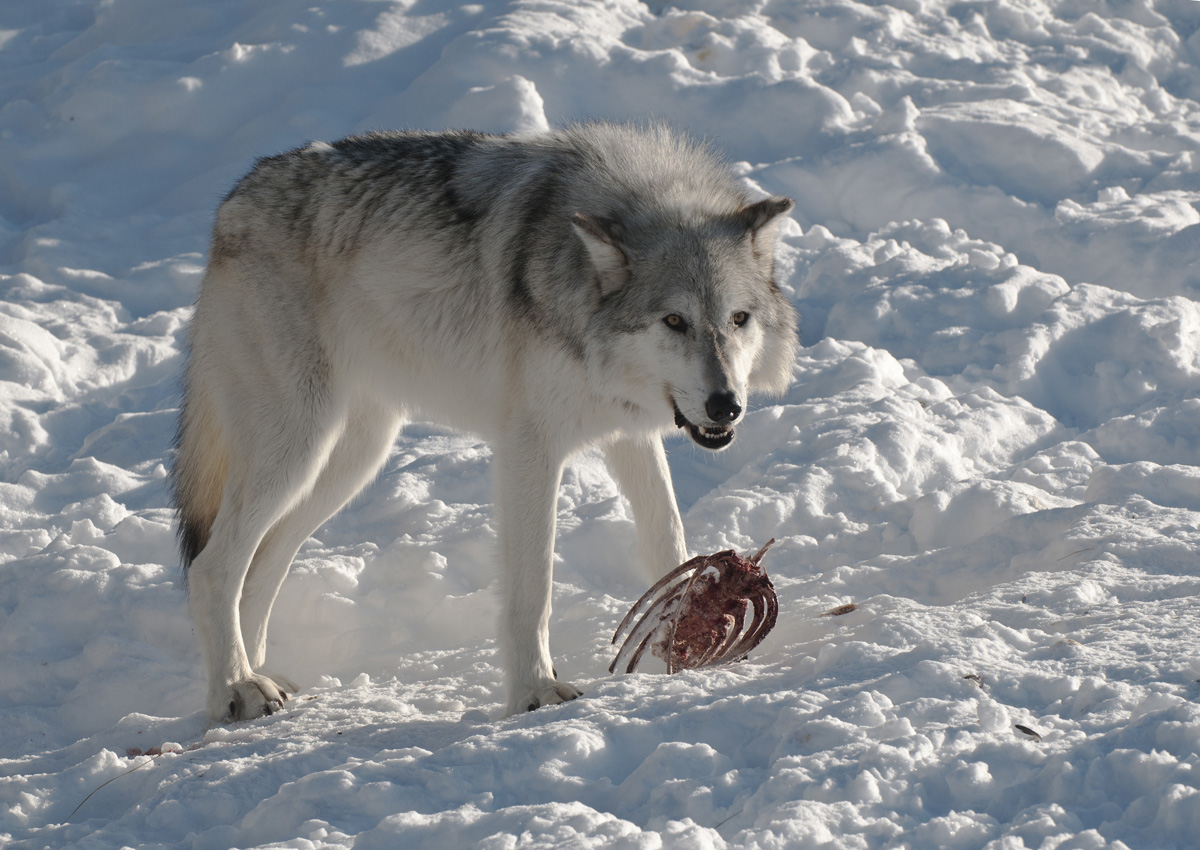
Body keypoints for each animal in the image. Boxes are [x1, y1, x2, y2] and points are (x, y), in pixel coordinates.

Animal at [173, 122, 798, 723]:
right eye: (674, 321)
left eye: (738, 319)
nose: (725, 406)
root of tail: (235, 198)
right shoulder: (530, 449)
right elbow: (534, 587)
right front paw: (535, 692)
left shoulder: (629, 433)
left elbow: (667, 539)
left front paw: (685, 647)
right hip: (299, 443)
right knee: (211, 569)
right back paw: (235, 691)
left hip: (351, 460)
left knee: (261, 563)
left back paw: (255, 675)